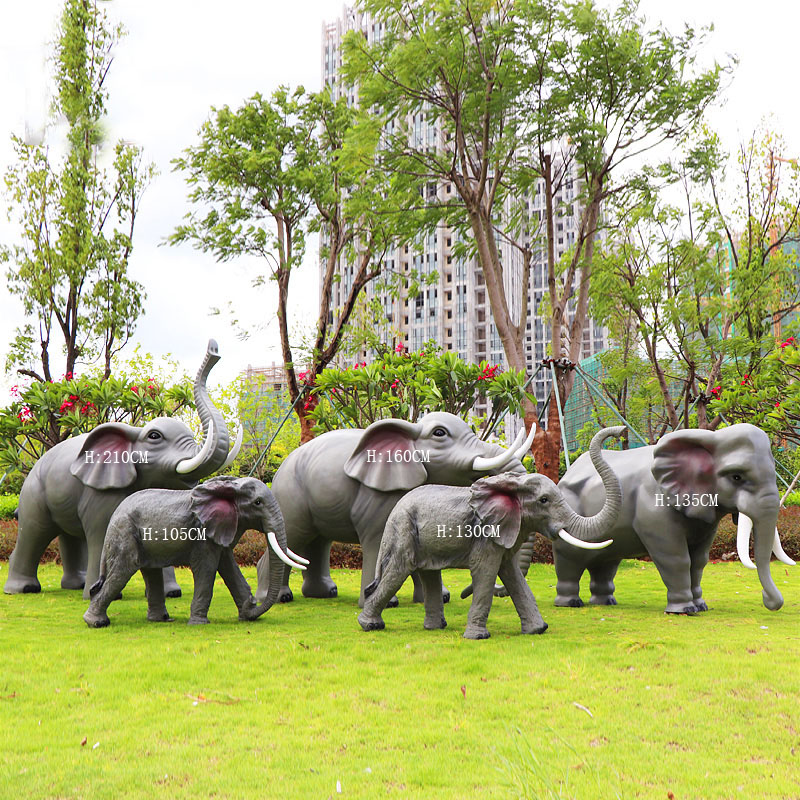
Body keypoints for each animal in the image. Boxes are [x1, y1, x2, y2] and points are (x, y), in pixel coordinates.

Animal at [4, 339, 243, 599]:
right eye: (154, 436)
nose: (214, 348)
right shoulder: (100, 492)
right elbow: (101, 531)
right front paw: (99, 595)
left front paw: (171, 593)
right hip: (33, 493)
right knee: (35, 531)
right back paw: (24, 589)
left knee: (69, 535)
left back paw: (75, 585)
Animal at [84, 476, 307, 627]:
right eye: (257, 503)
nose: (253, 602)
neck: (229, 486)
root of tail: (115, 514)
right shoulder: (202, 533)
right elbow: (207, 569)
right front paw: (200, 623)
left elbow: (229, 568)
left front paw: (246, 613)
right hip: (125, 534)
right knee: (122, 572)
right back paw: (96, 623)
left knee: (150, 572)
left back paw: (162, 620)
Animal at [255, 411, 537, 608]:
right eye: (439, 433)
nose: (463, 592)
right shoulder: (376, 496)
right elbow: (378, 539)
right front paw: (384, 603)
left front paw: (441, 598)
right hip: (290, 496)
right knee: (291, 538)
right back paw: (277, 598)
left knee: (318, 541)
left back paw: (324, 594)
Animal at [357, 427, 624, 639]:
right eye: (544, 500)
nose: (620, 431)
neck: (510, 486)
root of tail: (396, 507)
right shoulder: (485, 535)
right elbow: (485, 572)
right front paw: (478, 637)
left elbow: (511, 573)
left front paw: (538, 630)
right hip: (403, 529)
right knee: (398, 570)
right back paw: (370, 626)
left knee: (428, 573)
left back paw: (434, 628)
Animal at [545, 422, 795, 614]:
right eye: (736, 477)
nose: (768, 601)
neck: (709, 438)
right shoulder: (653, 509)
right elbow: (675, 556)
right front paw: (685, 610)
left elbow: (699, 560)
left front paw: (701, 607)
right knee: (570, 559)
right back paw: (570, 604)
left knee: (606, 562)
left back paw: (606, 602)